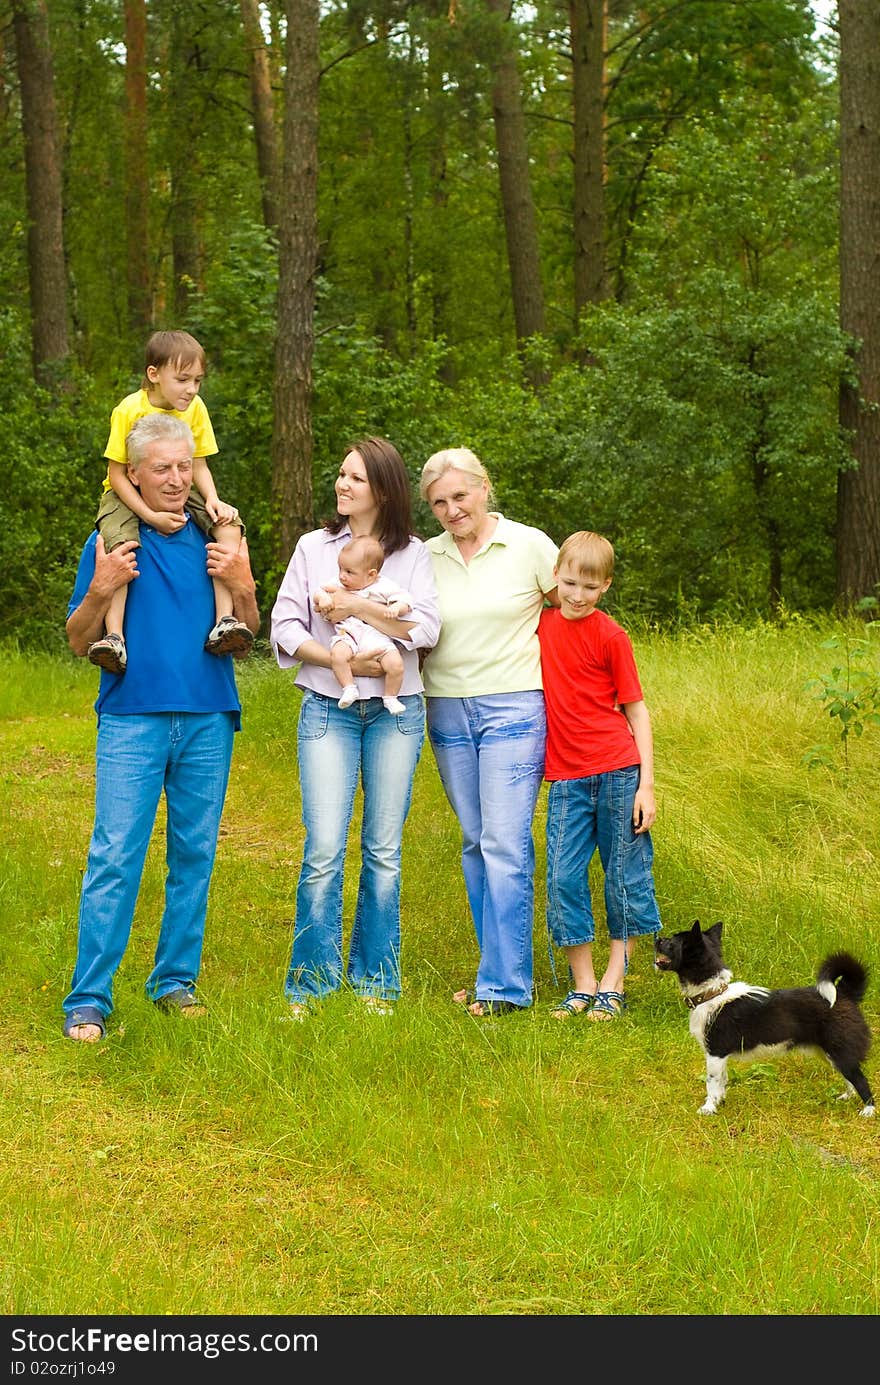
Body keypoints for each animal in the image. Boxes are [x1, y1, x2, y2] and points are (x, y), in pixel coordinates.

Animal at [654, 919, 875, 1113]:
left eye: (671, 943)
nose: (657, 938)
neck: (712, 993)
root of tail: (845, 992)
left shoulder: (715, 1052)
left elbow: (712, 1082)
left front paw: (709, 1108)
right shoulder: (720, 1057)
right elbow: (722, 1080)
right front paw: (720, 1101)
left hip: (840, 1051)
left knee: (860, 1080)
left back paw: (868, 1111)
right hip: (830, 1053)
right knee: (850, 1078)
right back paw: (846, 1097)